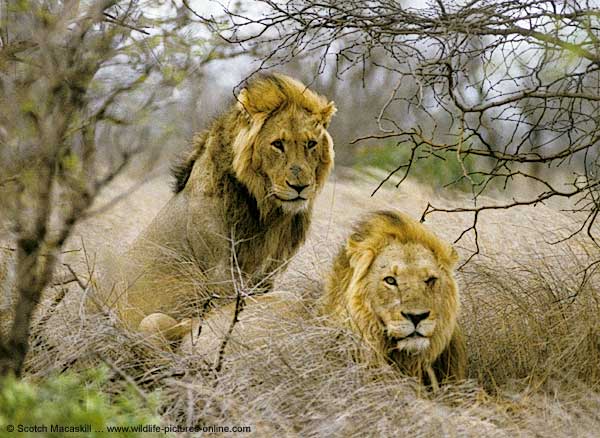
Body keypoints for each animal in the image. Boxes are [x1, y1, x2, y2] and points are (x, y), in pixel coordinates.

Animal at [96, 73, 336, 338]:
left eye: (311, 144)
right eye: (278, 144)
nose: (300, 186)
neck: (267, 210)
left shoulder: (265, 275)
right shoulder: (222, 274)